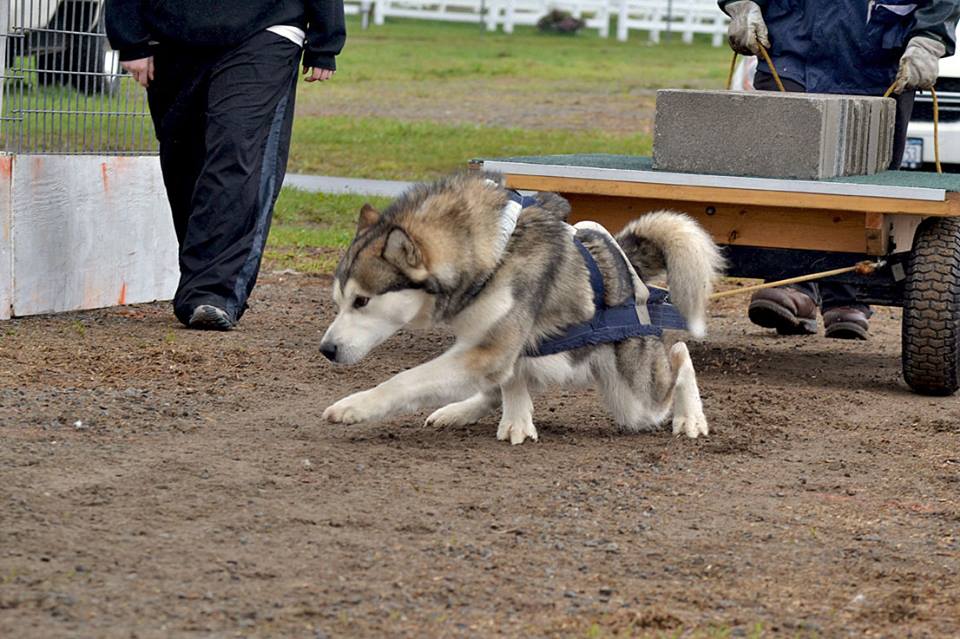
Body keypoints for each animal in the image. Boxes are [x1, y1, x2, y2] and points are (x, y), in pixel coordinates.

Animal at [318, 172, 724, 448]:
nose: (326, 349)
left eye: (362, 301)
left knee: (679, 354)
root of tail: (624, 264)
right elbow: (506, 378)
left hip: (636, 398)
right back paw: (461, 411)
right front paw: (515, 417)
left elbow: (403, 380)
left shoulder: (489, 350)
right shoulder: (490, 347)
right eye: (338, 301)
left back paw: (690, 417)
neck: (495, 255)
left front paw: (356, 405)